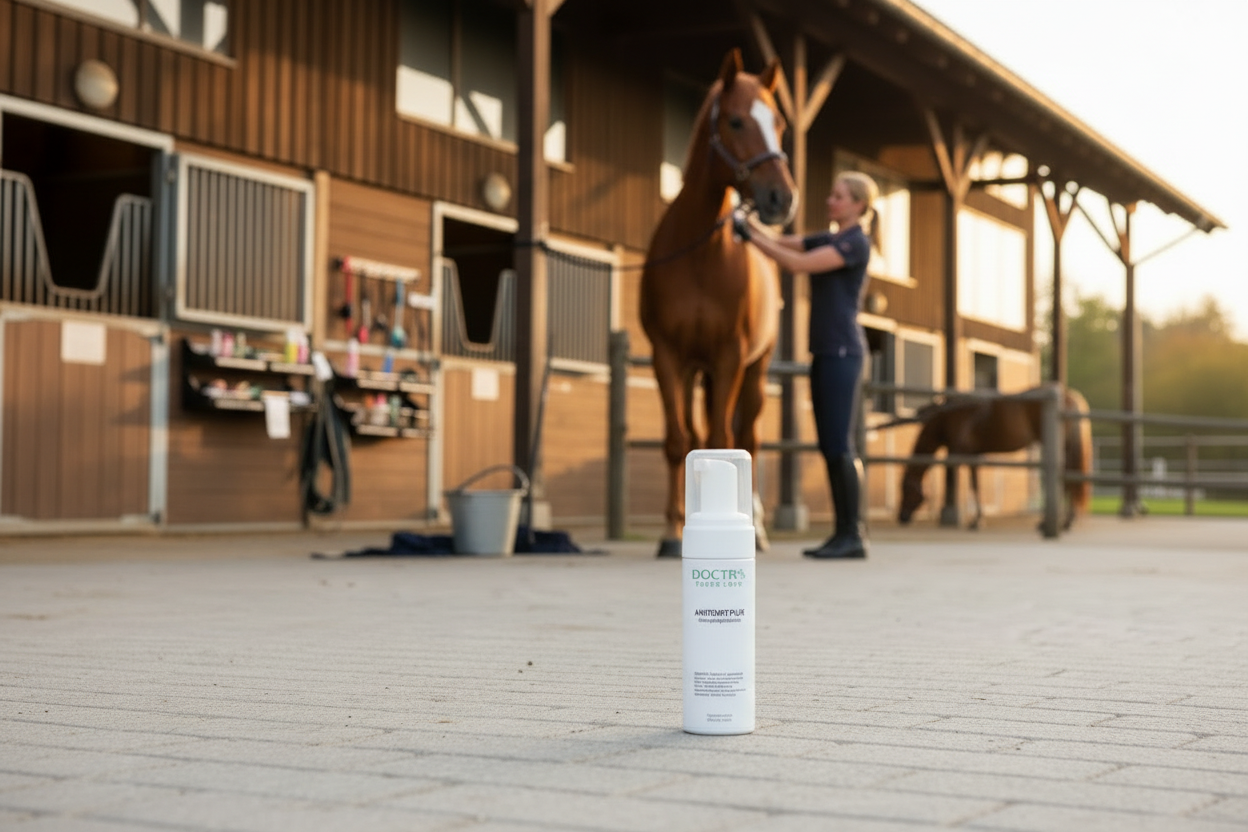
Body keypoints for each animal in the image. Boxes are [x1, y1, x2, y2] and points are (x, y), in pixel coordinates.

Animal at [639, 49, 797, 558]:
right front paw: (671, 533)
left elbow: (722, 438)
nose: (781, 198)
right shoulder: (668, 357)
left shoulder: (730, 356)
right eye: (736, 121)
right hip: (699, 372)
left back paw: (760, 529)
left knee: (748, 436)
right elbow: (679, 442)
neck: (699, 255)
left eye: (779, 123)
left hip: (755, 370)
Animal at [897, 385, 1093, 531]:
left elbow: (961, 484)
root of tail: (1069, 396)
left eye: (905, 488)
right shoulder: (974, 455)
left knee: (1066, 479)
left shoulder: (960, 452)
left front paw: (973, 521)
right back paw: (1066, 521)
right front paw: (977, 519)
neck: (949, 415)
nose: (902, 517)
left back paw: (1053, 522)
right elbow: (975, 484)